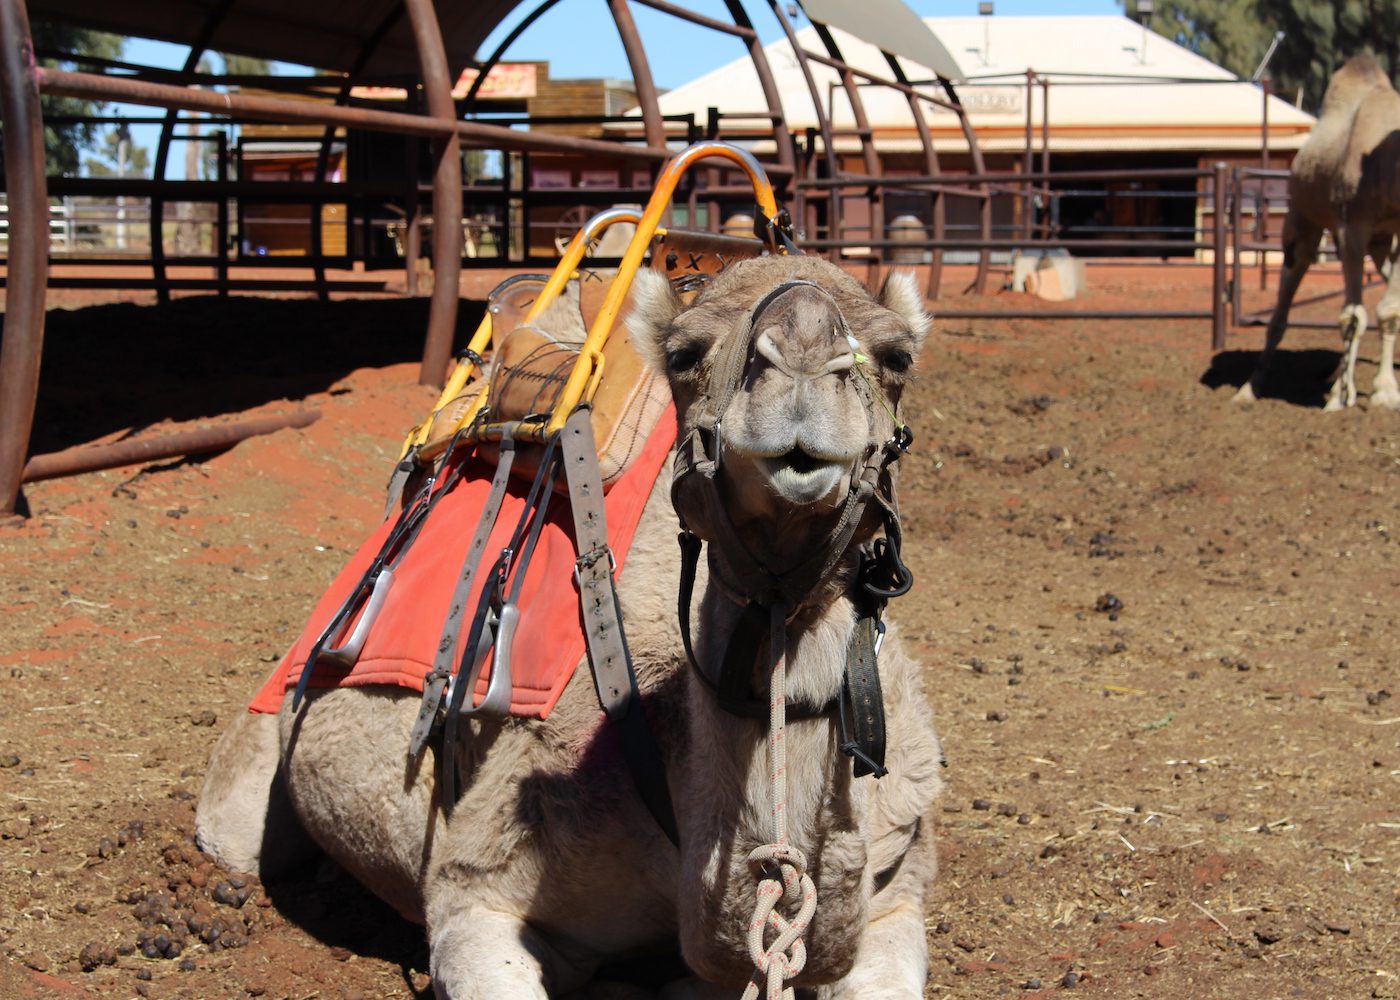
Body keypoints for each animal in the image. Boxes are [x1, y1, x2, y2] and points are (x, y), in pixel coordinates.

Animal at [1234, 53, 1400, 411]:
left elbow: (1390, 311)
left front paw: (1384, 391)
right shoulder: (1351, 228)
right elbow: (1352, 316)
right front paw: (1339, 397)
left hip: (1381, 244)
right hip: (1301, 222)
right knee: (1282, 307)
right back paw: (1248, 389)